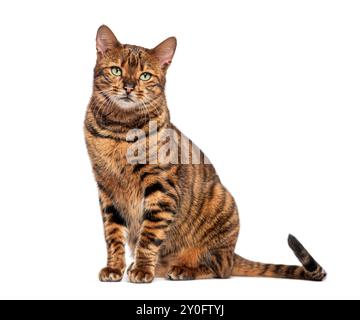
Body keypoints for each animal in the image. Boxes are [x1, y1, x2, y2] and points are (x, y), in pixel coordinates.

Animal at [84, 26, 326, 284]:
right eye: (116, 70)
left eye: (145, 76)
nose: (129, 86)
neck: (120, 129)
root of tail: (232, 251)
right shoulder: (107, 189)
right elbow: (113, 234)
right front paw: (114, 268)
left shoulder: (161, 187)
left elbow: (149, 237)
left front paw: (142, 269)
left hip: (222, 204)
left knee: (220, 268)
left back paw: (183, 269)